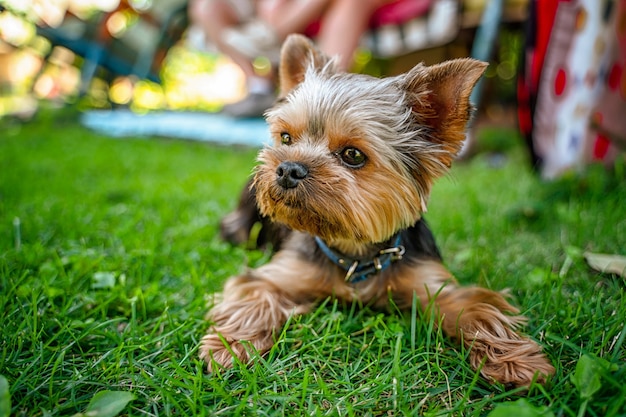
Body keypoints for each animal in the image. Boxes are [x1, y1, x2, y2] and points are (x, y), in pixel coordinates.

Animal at [199, 33, 552, 386]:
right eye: (286, 138)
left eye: (353, 155)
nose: (287, 168)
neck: (354, 253)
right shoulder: (276, 274)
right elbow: (254, 296)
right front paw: (230, 346)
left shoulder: (431, 283)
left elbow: (476, 308)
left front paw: (515, 361)